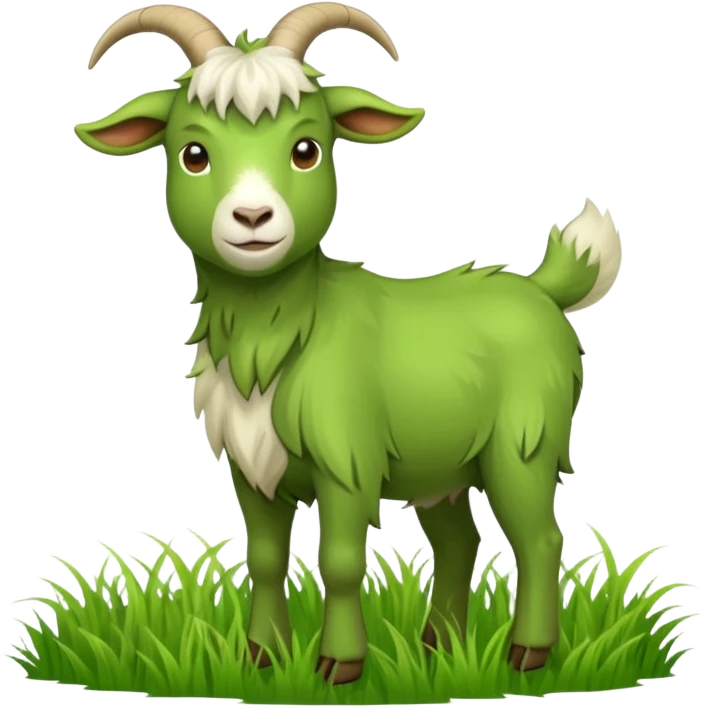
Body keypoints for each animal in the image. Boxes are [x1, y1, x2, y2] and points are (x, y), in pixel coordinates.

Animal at [75, 1, 623, 686]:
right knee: (460, 542)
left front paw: (338, 665)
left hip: (524, 443)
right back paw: (438, 646)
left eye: (307, 149)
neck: (283, 333)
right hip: (446, 466)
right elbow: (265, 560)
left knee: (541, 540)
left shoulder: (346, 461)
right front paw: (261, 657)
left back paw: (528, 654)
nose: (252, 218)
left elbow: (338, 563)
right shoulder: (253, 470)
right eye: (193, 153)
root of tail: (541, 289)